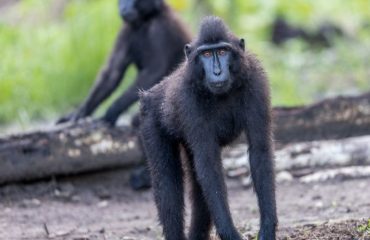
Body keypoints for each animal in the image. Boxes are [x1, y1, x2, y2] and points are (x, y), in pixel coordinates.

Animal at [58, 0, 191, 126]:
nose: (124, 6)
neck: (144, 21)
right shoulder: (126, 30)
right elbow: (112, 72)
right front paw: (79, 113)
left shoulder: (159, 30)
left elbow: (153, 72)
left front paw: (112, 112)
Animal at [139, 16, 278, 240]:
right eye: (205, 54)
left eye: (222, 51)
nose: (217, 71)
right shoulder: (187, 97)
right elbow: (208, 162)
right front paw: (229, 233)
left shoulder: (257, 82)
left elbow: (260, 151)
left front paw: (267, 227)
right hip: (150, 118)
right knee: (167, 184)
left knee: (198, 187)